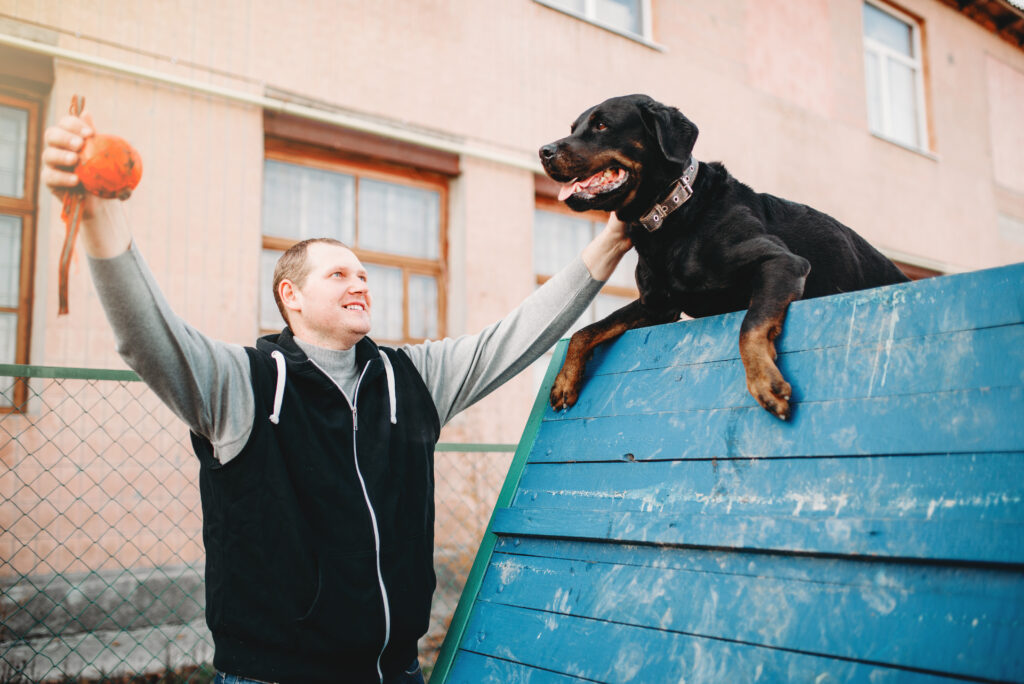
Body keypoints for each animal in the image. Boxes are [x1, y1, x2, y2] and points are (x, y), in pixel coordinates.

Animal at [540, 93, 909, 419]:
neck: (672, 217)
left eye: (602, 125)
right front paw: (565, 381)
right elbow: (587, 330)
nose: (545, 150)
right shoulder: (657, 306)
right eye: (573, 127)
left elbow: (751, 323)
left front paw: (764, 380)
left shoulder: (782, 262)